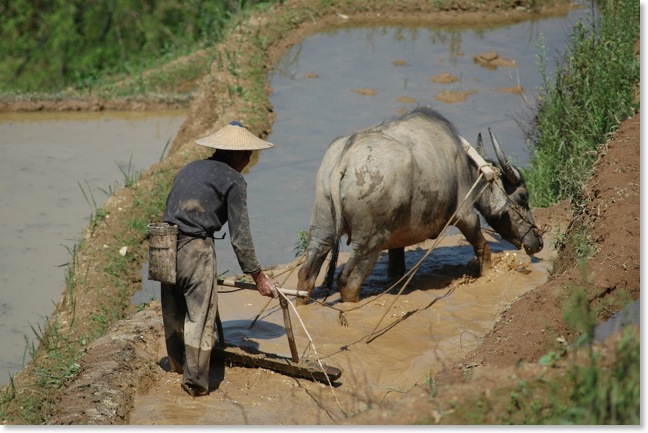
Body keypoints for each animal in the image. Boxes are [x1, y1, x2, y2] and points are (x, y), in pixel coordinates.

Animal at [296, 106, 544, 302]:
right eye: (523, 196)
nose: (538, 241)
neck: (466, 166)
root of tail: (344, 159)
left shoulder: (396, 240)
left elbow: (396, 269)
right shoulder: (465, 215)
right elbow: (483, 250)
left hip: (322, 228)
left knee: (306, 275)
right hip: (370, 240)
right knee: (348, 281)